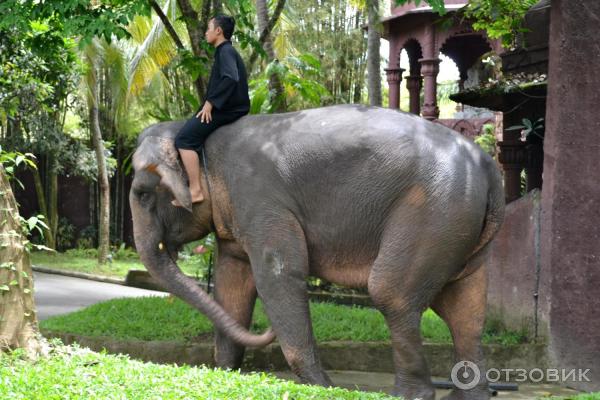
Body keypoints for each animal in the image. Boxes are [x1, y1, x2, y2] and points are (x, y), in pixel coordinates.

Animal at [129, 104, 504, 400]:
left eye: (142, 194)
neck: (194, 134)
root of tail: (488, 166)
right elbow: (231, 284)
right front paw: (225, 373)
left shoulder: (260, 199)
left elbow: (278, 274)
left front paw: (322, 387)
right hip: (458, 225)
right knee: (465, 310)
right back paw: (466, 395)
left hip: (434, 211)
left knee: (392, 293)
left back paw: (408, 395)